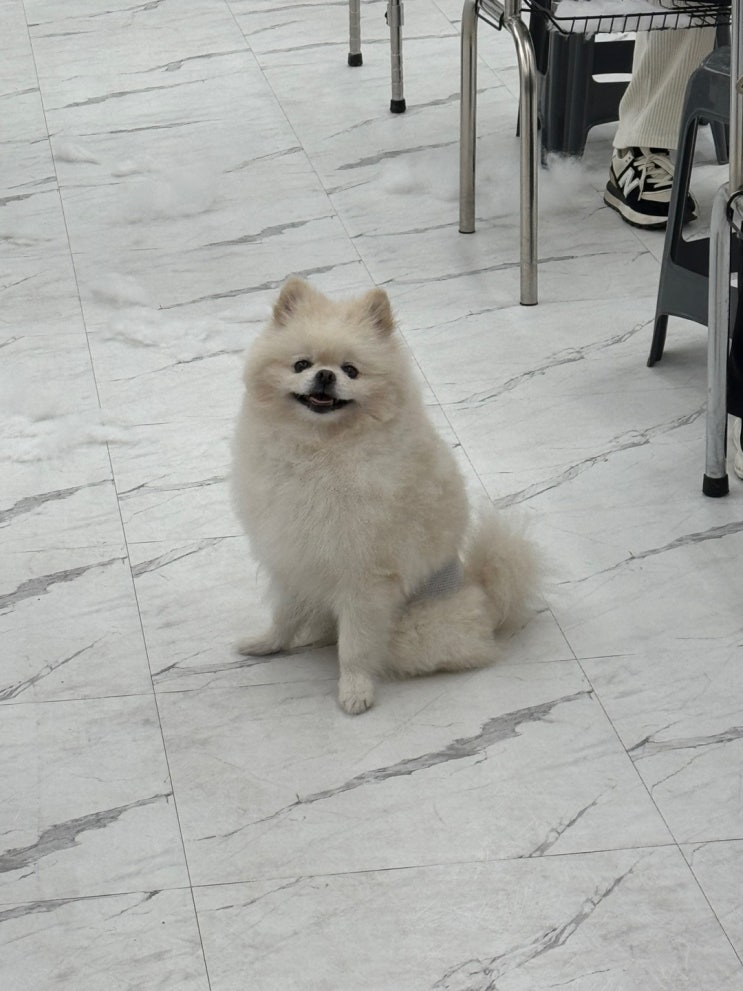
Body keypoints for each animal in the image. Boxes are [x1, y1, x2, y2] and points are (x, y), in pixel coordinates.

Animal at [231, 278, 539, 714]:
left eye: (351, 370)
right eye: (301, 365)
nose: (325, 376)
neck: (321, 450)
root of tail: (483, 599)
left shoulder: (365, 578)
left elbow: (355, 647)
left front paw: (355, 690)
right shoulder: (292, 555)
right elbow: (285, 614)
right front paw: (269, 644)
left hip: (413, 628)